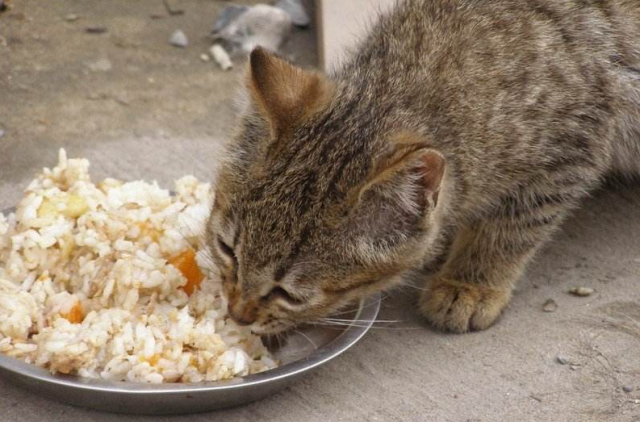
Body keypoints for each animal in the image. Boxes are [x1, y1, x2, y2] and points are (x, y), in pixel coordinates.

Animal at [205, 0, 640, 334]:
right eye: (227, 249)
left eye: (289, 293)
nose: (237, 314)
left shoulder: (573, 146)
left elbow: (512, 225)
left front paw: (470, 281)